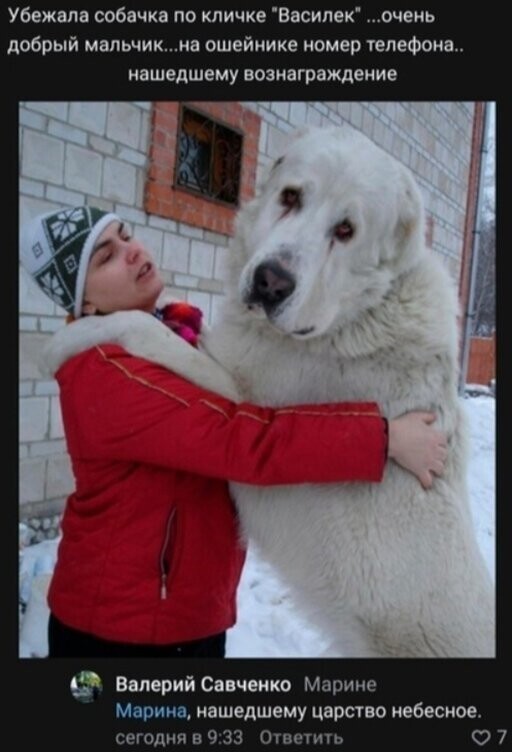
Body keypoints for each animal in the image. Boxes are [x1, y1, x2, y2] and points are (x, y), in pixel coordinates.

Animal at [46, 126, 494, 656]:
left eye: (346, 231)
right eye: (291, 197)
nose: (270, 282)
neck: (358, 313)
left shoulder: (239, 395)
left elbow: (141, 327)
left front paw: (65, 339)